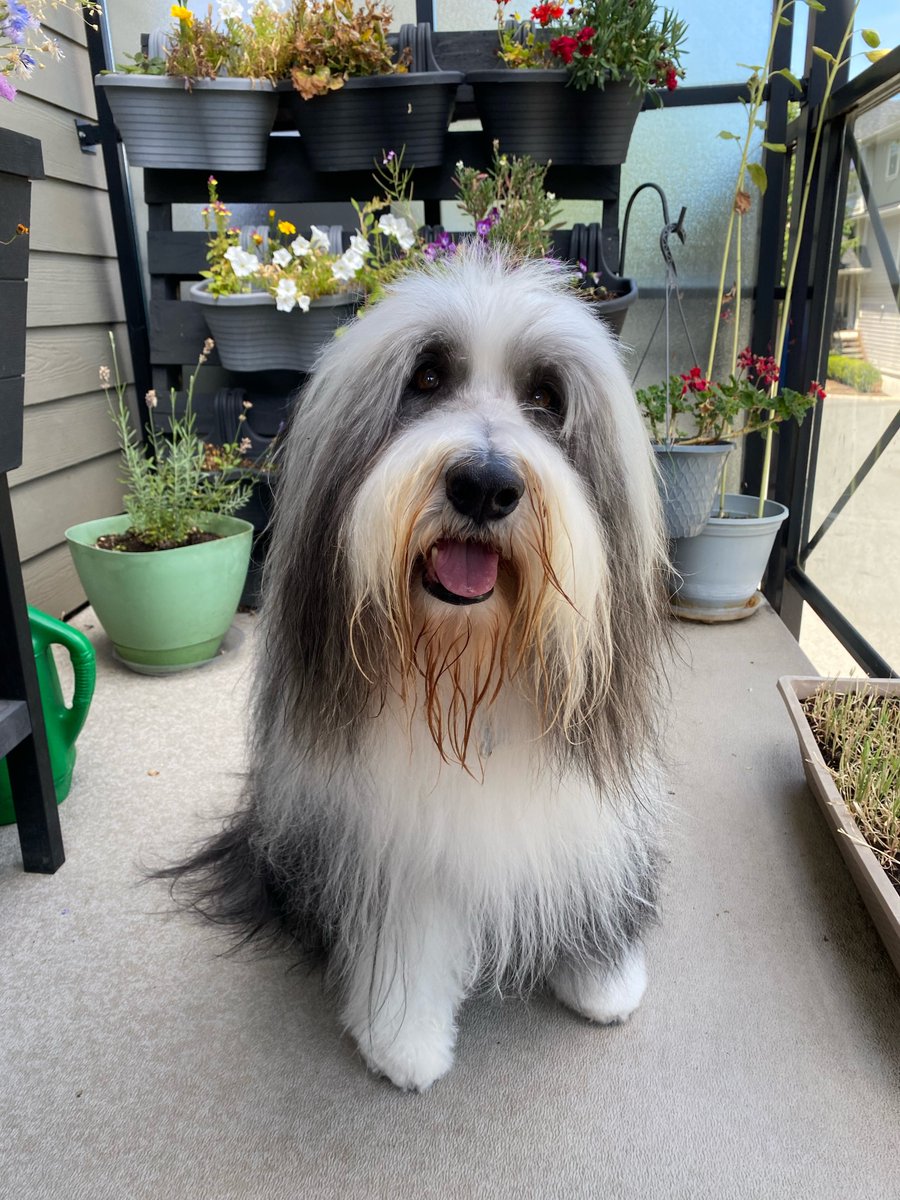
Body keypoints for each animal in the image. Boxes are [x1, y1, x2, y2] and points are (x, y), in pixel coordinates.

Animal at [160, 248, 672, 1094]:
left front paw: (603, 976)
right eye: (426, 379)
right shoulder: (395, 839)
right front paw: (405, 1042)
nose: (485, 485)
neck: (468, 668)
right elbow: (410, 929)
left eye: (545, 396)